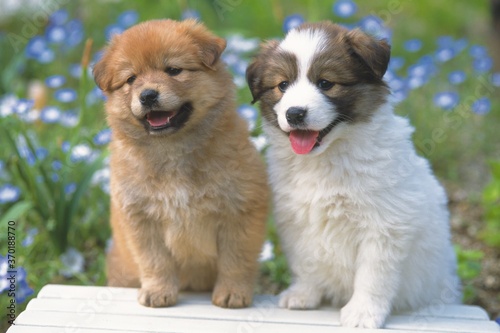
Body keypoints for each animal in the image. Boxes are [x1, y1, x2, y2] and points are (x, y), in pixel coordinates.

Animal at [91, 19, 268, 308]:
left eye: (173, 70)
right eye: (131, 79)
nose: (147, 95)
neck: (172, 149)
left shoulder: (239, 211)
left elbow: (235, 260)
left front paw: (232, 293)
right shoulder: (142, 220)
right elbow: (155, 261)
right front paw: (158, 291)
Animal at [246, 22, 460, 328]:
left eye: (325, 83)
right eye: (282, 85)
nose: (295, 113)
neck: (328, 156)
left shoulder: (384, 226)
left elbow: (373, 276)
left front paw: (363, 313)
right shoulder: (297, 221)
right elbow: (305, 262)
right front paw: (304, 294)